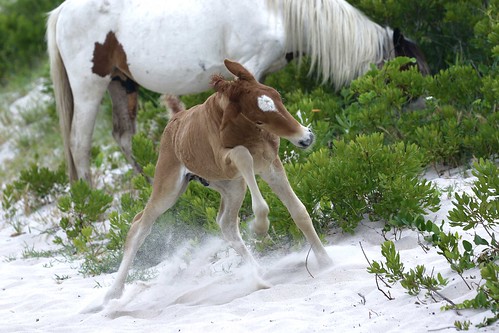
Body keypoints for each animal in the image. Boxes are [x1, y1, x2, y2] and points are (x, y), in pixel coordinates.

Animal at [47, 0, 430, 182]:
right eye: (411, 71)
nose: (424, 122)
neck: (279, 12)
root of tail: (63, 10)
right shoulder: (250, 69)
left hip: (120, 83)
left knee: (123, 137)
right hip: (89, 87)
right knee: (79, 146)